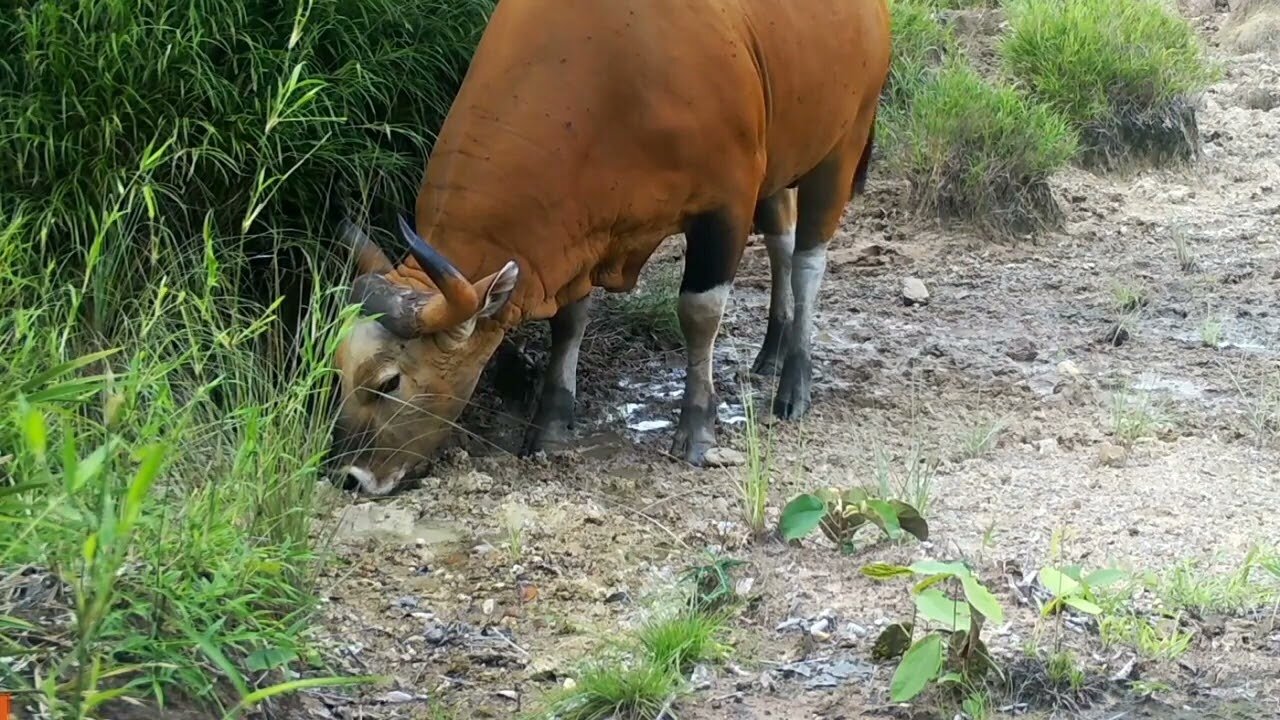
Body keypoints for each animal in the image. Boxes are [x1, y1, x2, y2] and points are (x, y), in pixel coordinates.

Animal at [330, 0, 890, 491]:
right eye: (338, 369)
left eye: (389, 382)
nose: (348, 477)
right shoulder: (578, 236)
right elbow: (568, 321)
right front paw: (551, 423)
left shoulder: (726, 205)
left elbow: (700, 313)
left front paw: (696, 427)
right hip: (780, 163)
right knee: (781, 239)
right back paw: (772, 352)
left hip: (843, 144)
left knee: (808, 260)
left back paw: (794, 383)